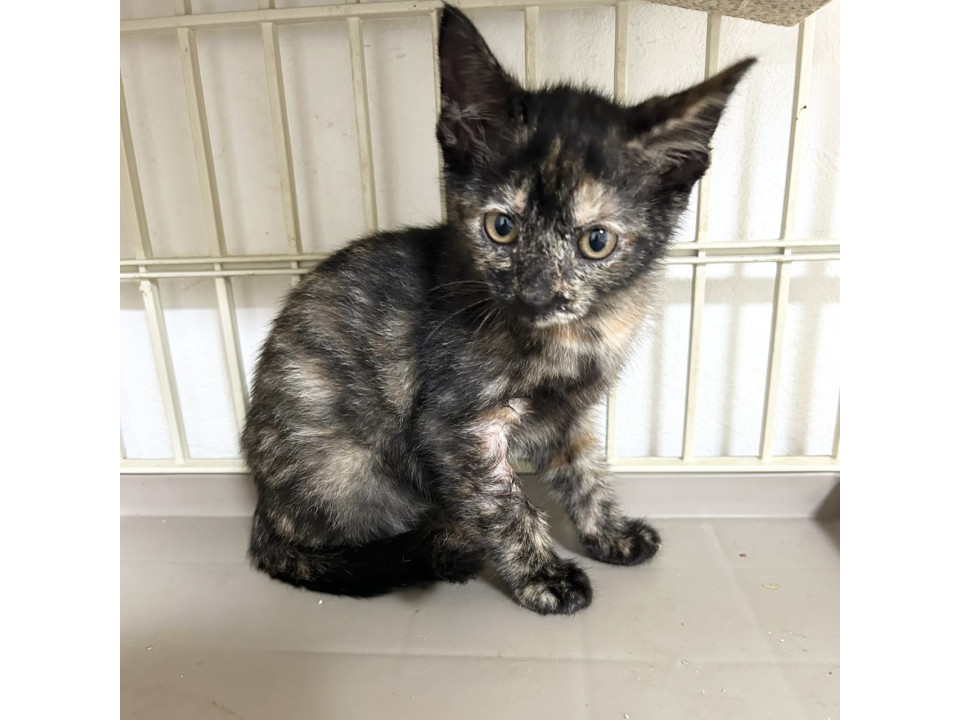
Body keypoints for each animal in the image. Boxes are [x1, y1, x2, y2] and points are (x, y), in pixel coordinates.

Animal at [242, 5, 753, 615]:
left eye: (596, 242)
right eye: (501, 227)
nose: (536, 294)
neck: (578, 336)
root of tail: (263, 509)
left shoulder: (570, 414)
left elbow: (587, 473)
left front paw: (609, 534)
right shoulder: (456, 426)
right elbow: (505, 505)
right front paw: (545, 577)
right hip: (351, 469)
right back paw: (445, 543)